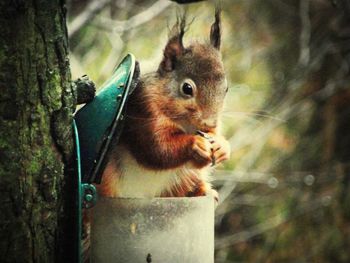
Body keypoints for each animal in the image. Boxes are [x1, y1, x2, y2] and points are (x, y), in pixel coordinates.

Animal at [98, 10, 230, 200]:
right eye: (187, 88)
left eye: (226, 88)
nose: (209, 122)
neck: (185, 122)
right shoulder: (144, 108)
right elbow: (157, 149)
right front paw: (195, 143)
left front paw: (222, 146)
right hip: (107, 174)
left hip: (183, 179)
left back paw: (204, 191)